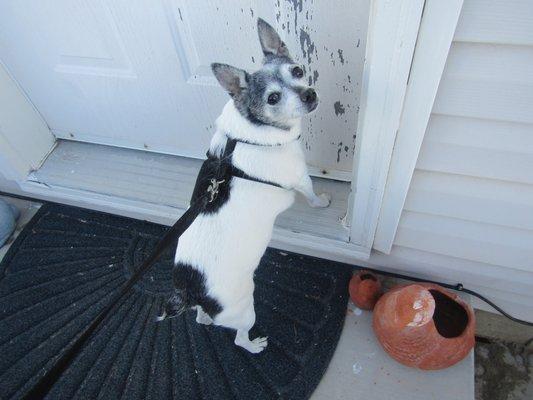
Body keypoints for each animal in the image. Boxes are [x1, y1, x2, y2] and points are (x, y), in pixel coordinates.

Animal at [159, 19, 328, 354]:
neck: (250, 130)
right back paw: (254, 345)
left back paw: (205, 319)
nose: (309, 94)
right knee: (238, 336)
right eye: (272, 98)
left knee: (202, 318)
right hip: (244, 308)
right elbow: (311, 193)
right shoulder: (301, 177)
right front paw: (324, 202)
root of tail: (189, 290)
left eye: (297, 71)